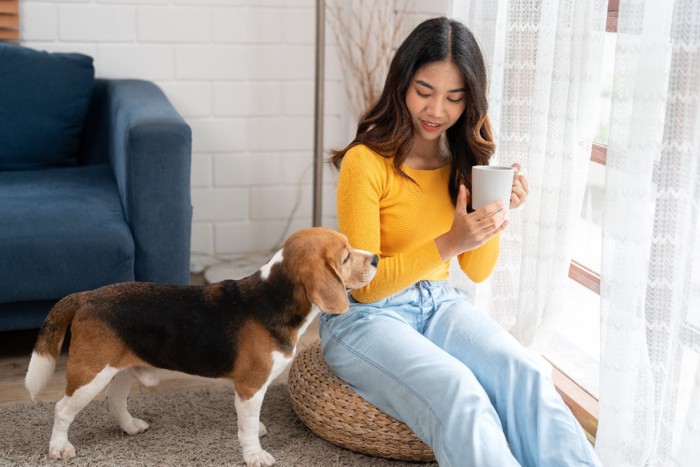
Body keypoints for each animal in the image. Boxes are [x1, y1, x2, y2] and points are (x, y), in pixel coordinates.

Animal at [23, 229, 378, 466]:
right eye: (346, 257)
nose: (375, 258)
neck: (273, 298)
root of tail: (86, 296)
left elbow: (251, 420)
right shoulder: (250, 386)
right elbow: (247, 427)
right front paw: (255, 455)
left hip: (120, 367)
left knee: (114, 401)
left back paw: (130, 426)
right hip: (90, 373)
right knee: (62, 409)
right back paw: (59, 448)